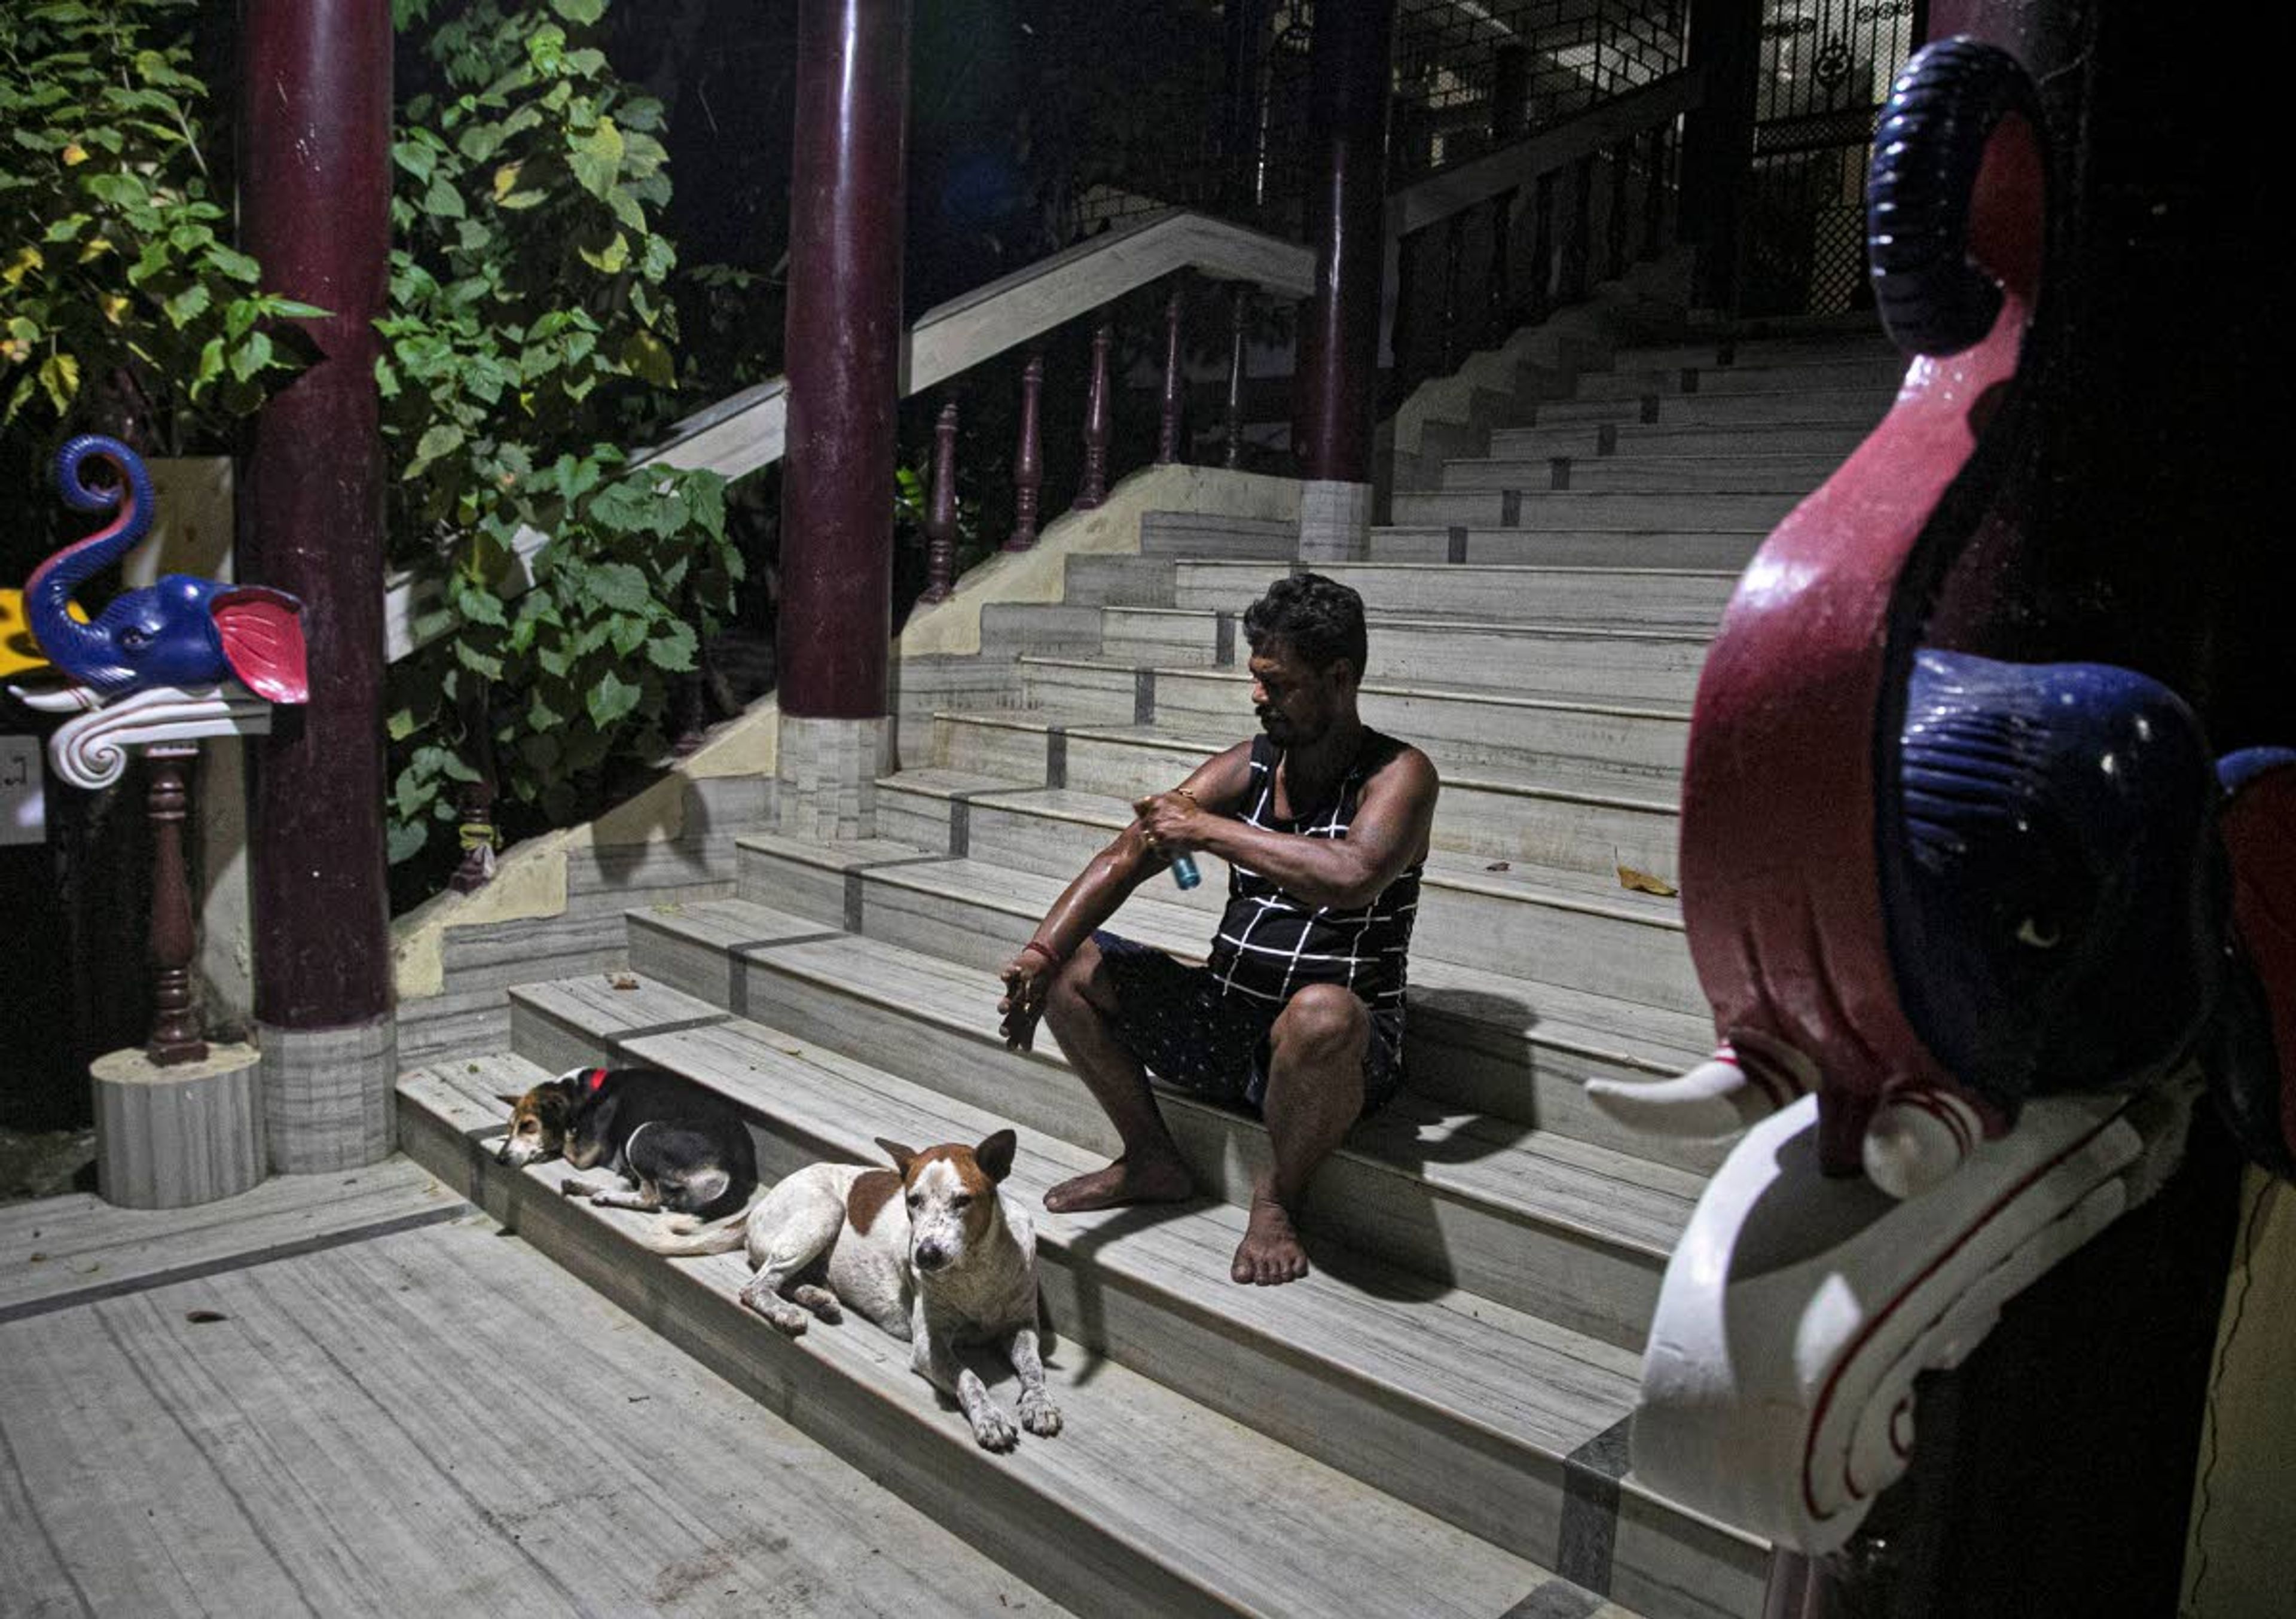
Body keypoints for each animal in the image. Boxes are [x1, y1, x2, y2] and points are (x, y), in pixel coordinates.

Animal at [652, 1125, 1061, 1451]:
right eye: (913, 1200)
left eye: (963, 1200)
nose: (924, 1255)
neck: (975, 1270)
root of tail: (758, 1205)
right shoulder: (929, 1346)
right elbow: (971, 1378)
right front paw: (989, 1417)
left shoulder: (1021, 1325)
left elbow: (1034, 1367)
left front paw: (1039, 1404)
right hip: (825, 1213)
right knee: (757, 1285)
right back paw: (787, 1312)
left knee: (789, 1281)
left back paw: (819, 1299)